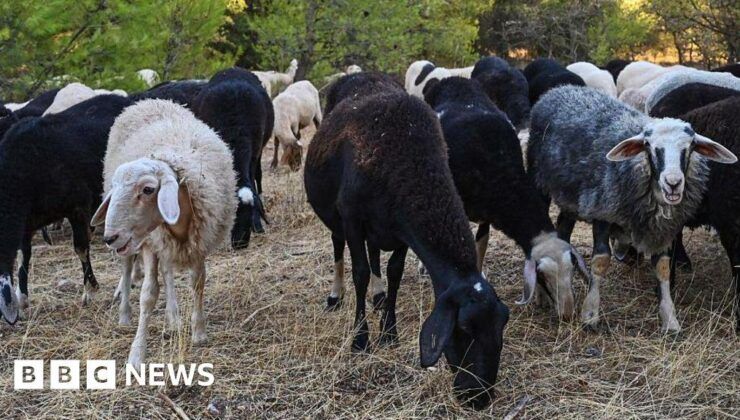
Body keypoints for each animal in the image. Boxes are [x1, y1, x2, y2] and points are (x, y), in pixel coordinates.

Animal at [0, 94, 133, 325]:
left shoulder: (77, 206)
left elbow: (80, 248)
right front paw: (23, 299)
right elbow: (24, 256)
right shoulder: (27, 221)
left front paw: (90, 290)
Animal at [91, 99, 237, 366]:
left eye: (148, 189)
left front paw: (198, 332)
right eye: (115, 188)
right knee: (127, 268)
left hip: (163, 244)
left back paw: (173, 317)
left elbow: (197, 282)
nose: (109, 238)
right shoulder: (150, 243)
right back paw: (125, 315)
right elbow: (148, 294)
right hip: (137, 244)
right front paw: (136, 354)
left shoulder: (198, 241)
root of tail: (147, 101)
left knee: (168, 271)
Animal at [304, 90, 509, 409]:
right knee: (340, 249)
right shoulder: (352, 219)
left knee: (375, 256)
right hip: (337, 220)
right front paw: (361, 340)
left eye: (501, 326)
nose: (479, 398)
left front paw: (389, 332)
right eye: (463, 329)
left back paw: (378, 299)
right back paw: (336, 296)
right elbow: (360, 273)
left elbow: (394, 273)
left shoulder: (400, 230)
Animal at [423, 77, 590, 319]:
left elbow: (480, 247)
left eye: (572, 270)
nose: (566, 314)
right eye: (542, 275)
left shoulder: (486, 214)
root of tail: (451, 79)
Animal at [527, 85, 737, 333]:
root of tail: (559, 89)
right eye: (650, 146)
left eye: (690, 147)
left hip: (571, 197)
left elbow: (663, 267)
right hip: (539, 182)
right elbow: (601, 261)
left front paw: (670, 320)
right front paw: (590, 315)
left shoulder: (663, 228)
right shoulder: (602, 211)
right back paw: (542, 295)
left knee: (562, 229)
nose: (673, 183)